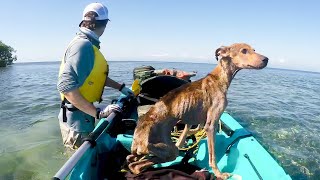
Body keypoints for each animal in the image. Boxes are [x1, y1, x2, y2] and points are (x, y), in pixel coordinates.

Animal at [126, 43, 268, 179]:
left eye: (254, 50)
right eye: (244, 50)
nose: (266, 59)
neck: (218, 78)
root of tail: (138, 135)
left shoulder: (193, 119)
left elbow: (189, 132)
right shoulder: (211, 125)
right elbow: (212, 156)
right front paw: (219, 174)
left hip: (159, 150)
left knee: (132, 160)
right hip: (169, 150)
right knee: (136, 165)